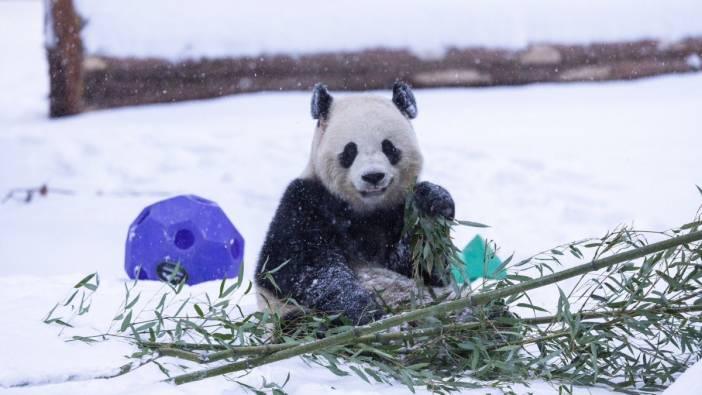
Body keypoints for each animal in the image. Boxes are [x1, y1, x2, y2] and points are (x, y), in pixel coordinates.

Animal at [258, 82, 456, 326]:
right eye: (350, 150)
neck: (366, 210)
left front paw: (432, 201)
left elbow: (422, 267)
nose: (373, 176)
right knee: (298, 323)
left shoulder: (398, 209)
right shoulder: (305, 203)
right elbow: (301, 267)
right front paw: (364, 310)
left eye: (389, 148)